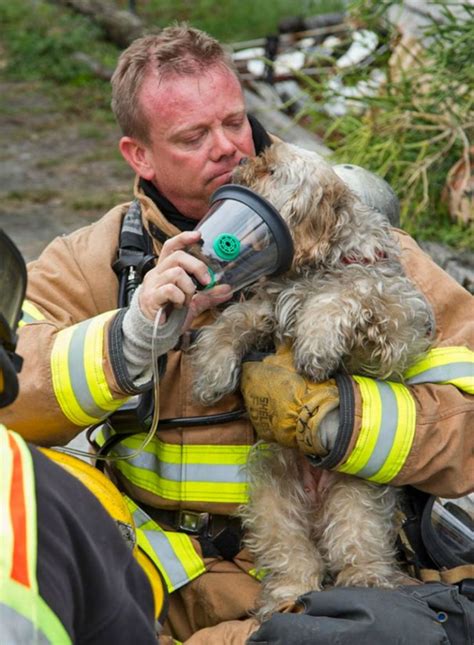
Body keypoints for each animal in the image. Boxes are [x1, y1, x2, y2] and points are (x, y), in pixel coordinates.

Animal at [189, 142, 434, 620]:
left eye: (271, 169)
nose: (238, 163)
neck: (321, 261)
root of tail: (317, 497)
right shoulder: (265, 306)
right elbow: (233, 321)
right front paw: (212, 368)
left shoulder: (394, 327)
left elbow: (345, 294)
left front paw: (316, 344)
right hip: (273, 501)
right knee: (295, 560)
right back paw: (285, 600)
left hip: (357, 500)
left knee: (356, 551)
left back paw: (367, 583)